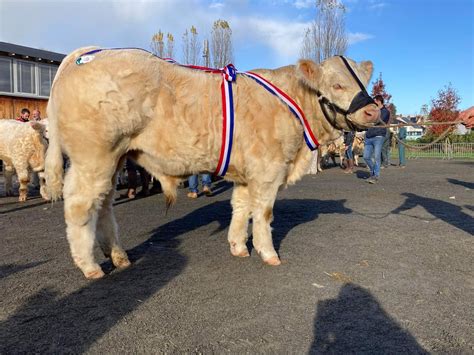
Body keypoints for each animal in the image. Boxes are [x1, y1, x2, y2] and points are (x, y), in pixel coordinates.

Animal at [43, 47, 378, 280]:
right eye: (337, 85)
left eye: (364, 82)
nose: (374, 111)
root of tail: (86, 53)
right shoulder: (268, 171)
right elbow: (264, 213)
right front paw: (268, 253)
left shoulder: (247, 174)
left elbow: (241, 208)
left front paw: (239, 246)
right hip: (92, 158)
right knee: (80, 207)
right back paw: (90, 267)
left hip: (113, 161)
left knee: (103, 206)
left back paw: (119, 257)